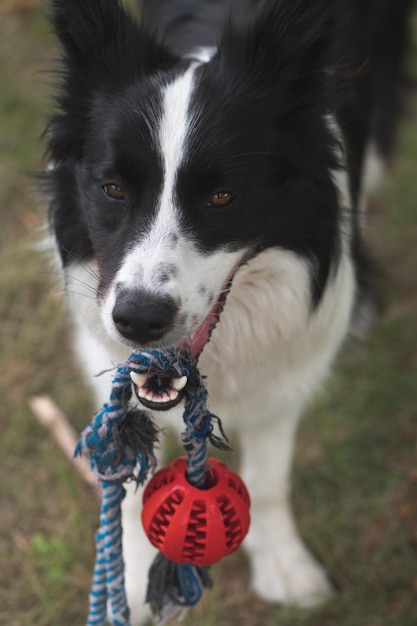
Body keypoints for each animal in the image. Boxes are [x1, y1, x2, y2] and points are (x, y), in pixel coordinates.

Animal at [44, 0, 414, 620]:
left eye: (222, 197)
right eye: (112, 188)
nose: (138, 319)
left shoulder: (291, 355)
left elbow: (267, 474)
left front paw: (286, 567)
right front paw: (131, 584)